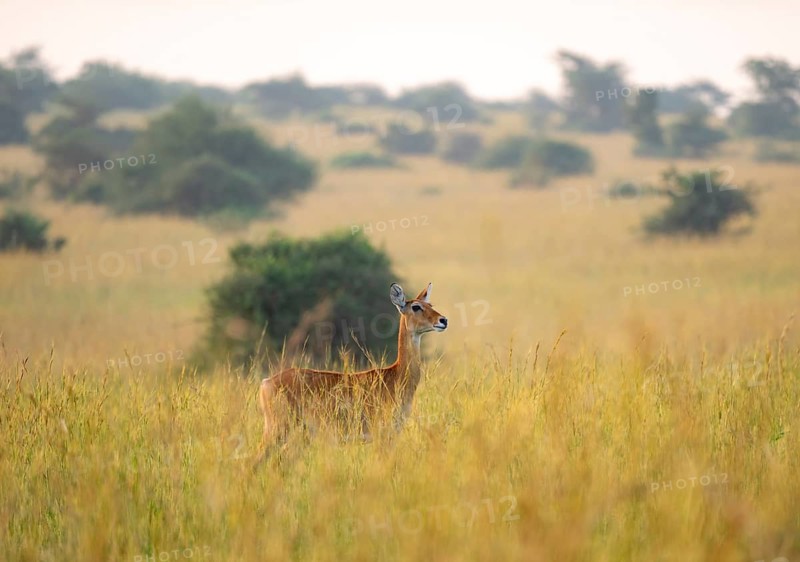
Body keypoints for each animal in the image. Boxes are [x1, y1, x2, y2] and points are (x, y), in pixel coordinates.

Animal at [254, 282, 448, 467]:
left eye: (430, 304)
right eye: (416, 306)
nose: (443, 320)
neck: (396, 376)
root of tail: (266, 382)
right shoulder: (382, 435)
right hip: (278, 430)